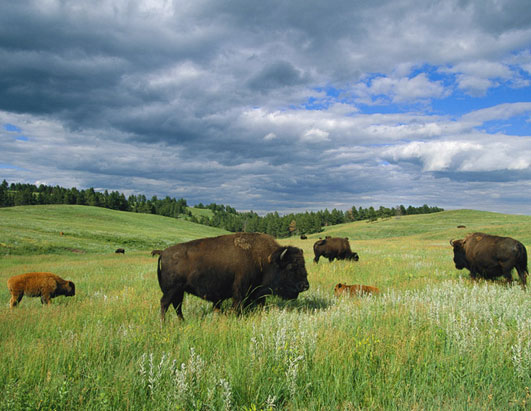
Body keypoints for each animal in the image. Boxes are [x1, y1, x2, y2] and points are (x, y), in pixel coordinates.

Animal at [156, 232, 310, 322]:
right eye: (291, 267)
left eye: (303, 264)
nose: (305, 285)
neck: (266, 259)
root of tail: (163, 252)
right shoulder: (240, 291)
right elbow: (238, 306)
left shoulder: (257, 293)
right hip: (172, 290)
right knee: (165, 303)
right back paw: (164, 323)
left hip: (179, 291)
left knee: (177, 305)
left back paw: (182, 321)